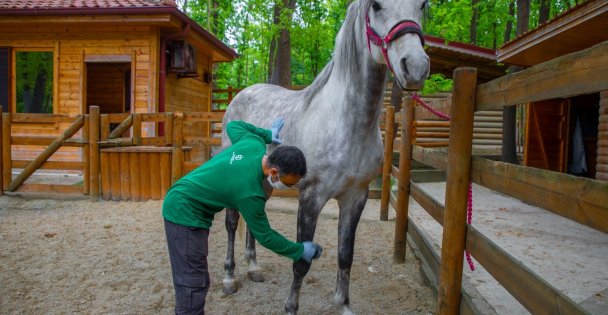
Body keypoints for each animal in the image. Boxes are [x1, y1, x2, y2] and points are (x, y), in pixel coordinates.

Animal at [218, 1, 428, 314]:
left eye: (423, 5)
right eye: (376, 6)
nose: (415, 67)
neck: (347, 124)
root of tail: (240, 95)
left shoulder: (355, 198)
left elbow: (345, 255)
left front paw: (343, 305)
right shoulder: (311, 197)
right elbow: (301, 262)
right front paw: (290, 307)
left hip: (264, 182)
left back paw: (254, 268)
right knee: (232, 223)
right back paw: (229, 278)